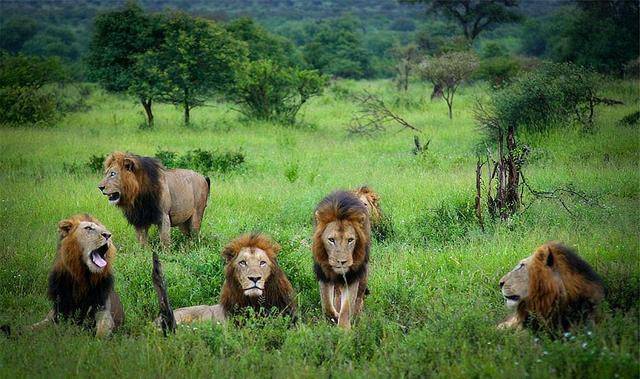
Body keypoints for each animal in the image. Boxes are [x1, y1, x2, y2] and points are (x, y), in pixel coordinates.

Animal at [314, 191, 372, 332]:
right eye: (331, 240)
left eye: (350, 240)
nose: (342, 262)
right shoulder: (323, 274)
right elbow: (327, 305)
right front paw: (334, 316)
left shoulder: (352, 276)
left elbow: (347, 308)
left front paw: (344, 330)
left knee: (359, 297)